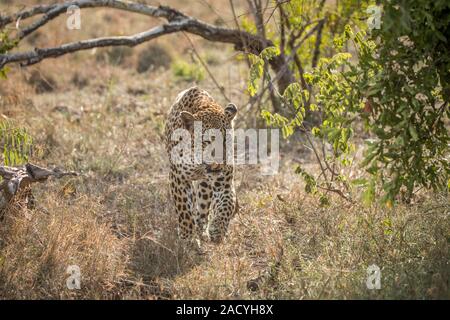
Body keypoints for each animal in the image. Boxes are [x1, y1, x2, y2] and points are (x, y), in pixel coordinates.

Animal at [163, 86, 237, 244]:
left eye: (226, 140)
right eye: (207, 141)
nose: (220, 162)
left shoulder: (224, 183)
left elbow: (227, 204)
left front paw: (217, 230)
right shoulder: (178, 177)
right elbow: (184, 211)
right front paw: (188, 239)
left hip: (205, 186)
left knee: (202, 208)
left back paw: (202, 230)